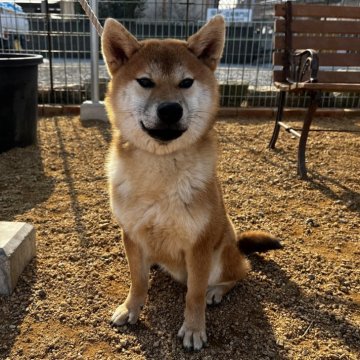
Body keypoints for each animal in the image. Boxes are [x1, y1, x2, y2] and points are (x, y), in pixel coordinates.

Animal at [101, 15, 282, 350]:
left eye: (186, 82)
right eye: (145, 81)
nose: (170, 109)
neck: (160, 172)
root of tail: (235, 243)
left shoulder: (199, 246)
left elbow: (194, 295)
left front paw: (195, 329)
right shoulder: (131, 234)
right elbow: (137, 280)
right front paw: (131, 308)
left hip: (220, 254)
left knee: (240, 272)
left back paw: (217, 290)